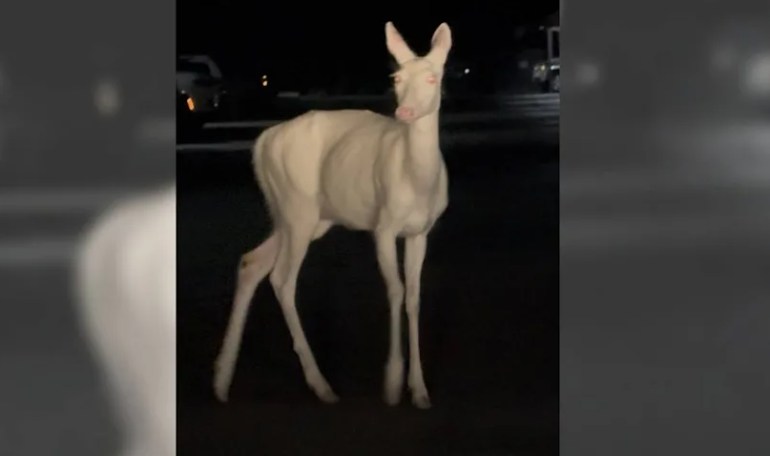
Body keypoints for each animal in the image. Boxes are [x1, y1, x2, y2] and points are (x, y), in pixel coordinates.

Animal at [213, 21, 452, 409]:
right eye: (397, 77)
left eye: (433, 78)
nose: (404, 113)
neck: (416, 180)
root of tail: (261, 144)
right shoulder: (383, 225)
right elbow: (395, 289)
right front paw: (391, 384)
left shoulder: (420, 231)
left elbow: (414, 297)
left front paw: (419, 390)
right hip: (298, 207)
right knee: (281, 278)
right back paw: (321, 385)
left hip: (297, 216)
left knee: (251, 262)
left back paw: (221, 380)